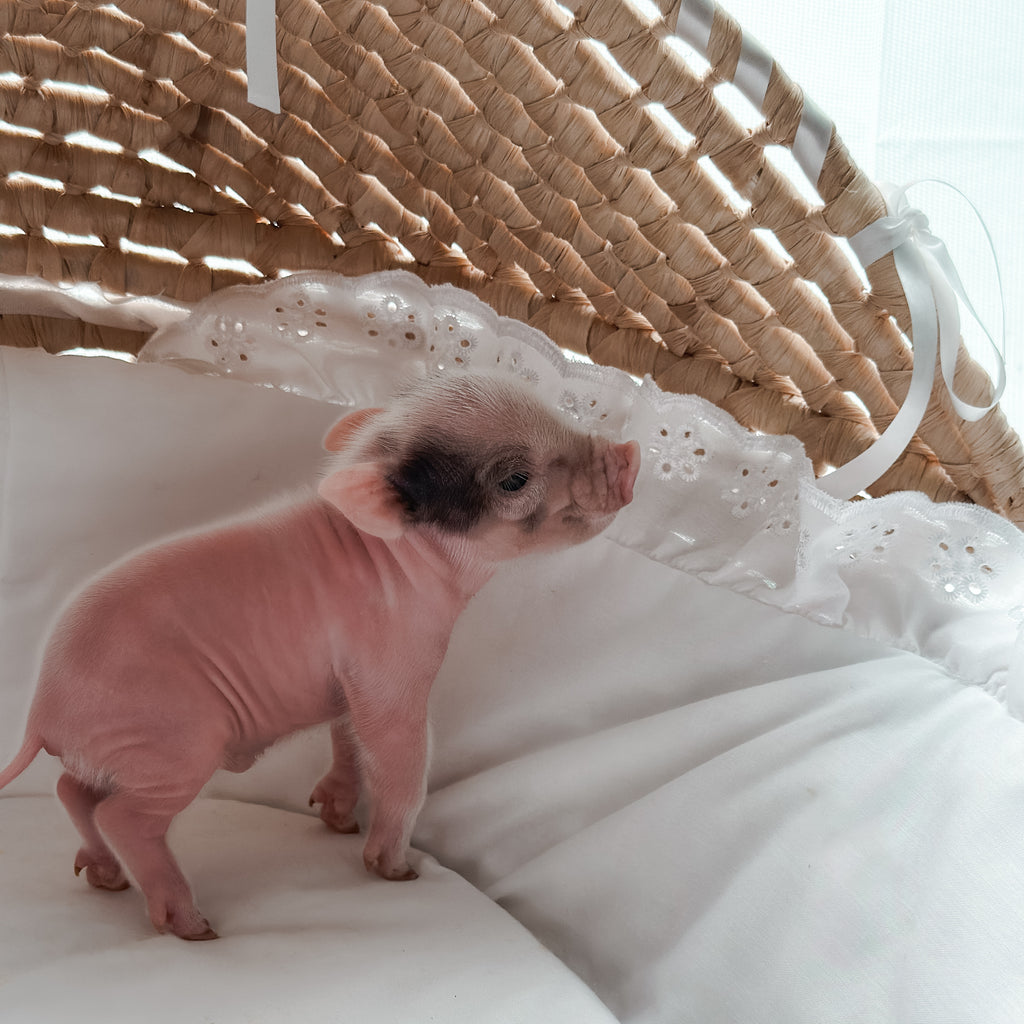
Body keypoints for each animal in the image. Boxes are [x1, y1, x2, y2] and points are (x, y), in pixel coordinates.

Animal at [0, 371, 640, 940]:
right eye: (514, 479)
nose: (631, 453)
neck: (405, 559)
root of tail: (41, 712)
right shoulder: (391, 671)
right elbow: (400, 761)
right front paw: (395, 871)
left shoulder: (348, 681)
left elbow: (348, 739)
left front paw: (335, 819)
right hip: (174, 746)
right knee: (123, 817)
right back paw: (194, 927)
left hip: (118, 755)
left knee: (71, 792)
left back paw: (103, 878)